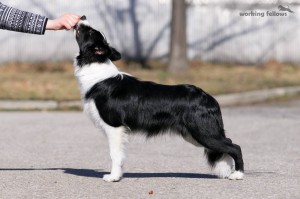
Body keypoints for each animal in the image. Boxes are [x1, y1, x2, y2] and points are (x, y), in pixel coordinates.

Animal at [72, 16, 244, 183]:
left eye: (90, 31)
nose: (82, 16)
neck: (96, 66)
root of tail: (209, 98)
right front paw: (118, 176)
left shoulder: (114, 126)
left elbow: (115, 154)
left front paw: (113, 177)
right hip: (194, 134)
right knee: (227, 143)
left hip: (203, 132)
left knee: (234, 146)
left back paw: (238, 174)